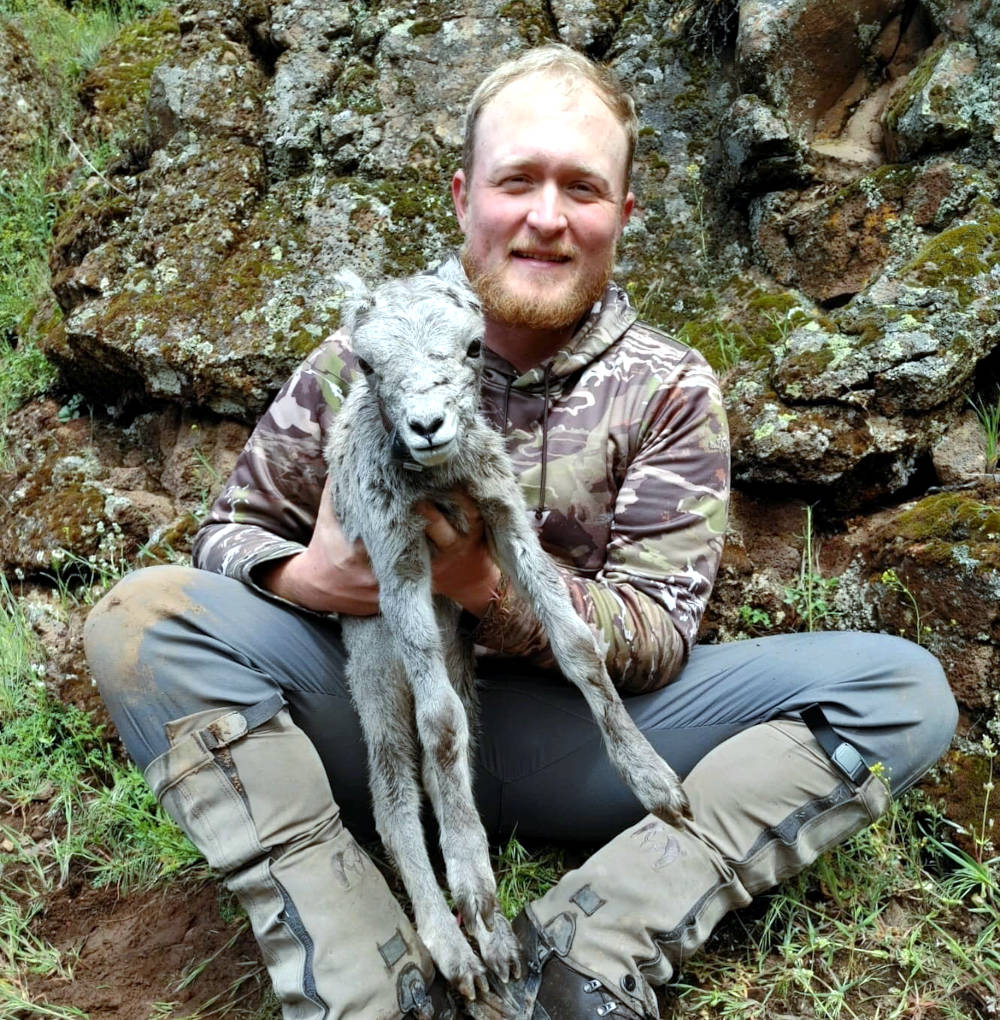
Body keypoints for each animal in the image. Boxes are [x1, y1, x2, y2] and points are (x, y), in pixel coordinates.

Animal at [326, 269, 685, 1003]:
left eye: (472, 346)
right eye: (368, 365)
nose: (427, 426)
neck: (439, 483)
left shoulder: (505, 520)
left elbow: (579, 646)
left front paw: (658, 787)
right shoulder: (397, 561)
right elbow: (437, 724)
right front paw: (470, 880)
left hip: (456, 658)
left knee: (447, 766)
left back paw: (494, 948)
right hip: (373, 663)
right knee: (396, 791)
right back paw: (455, 944)